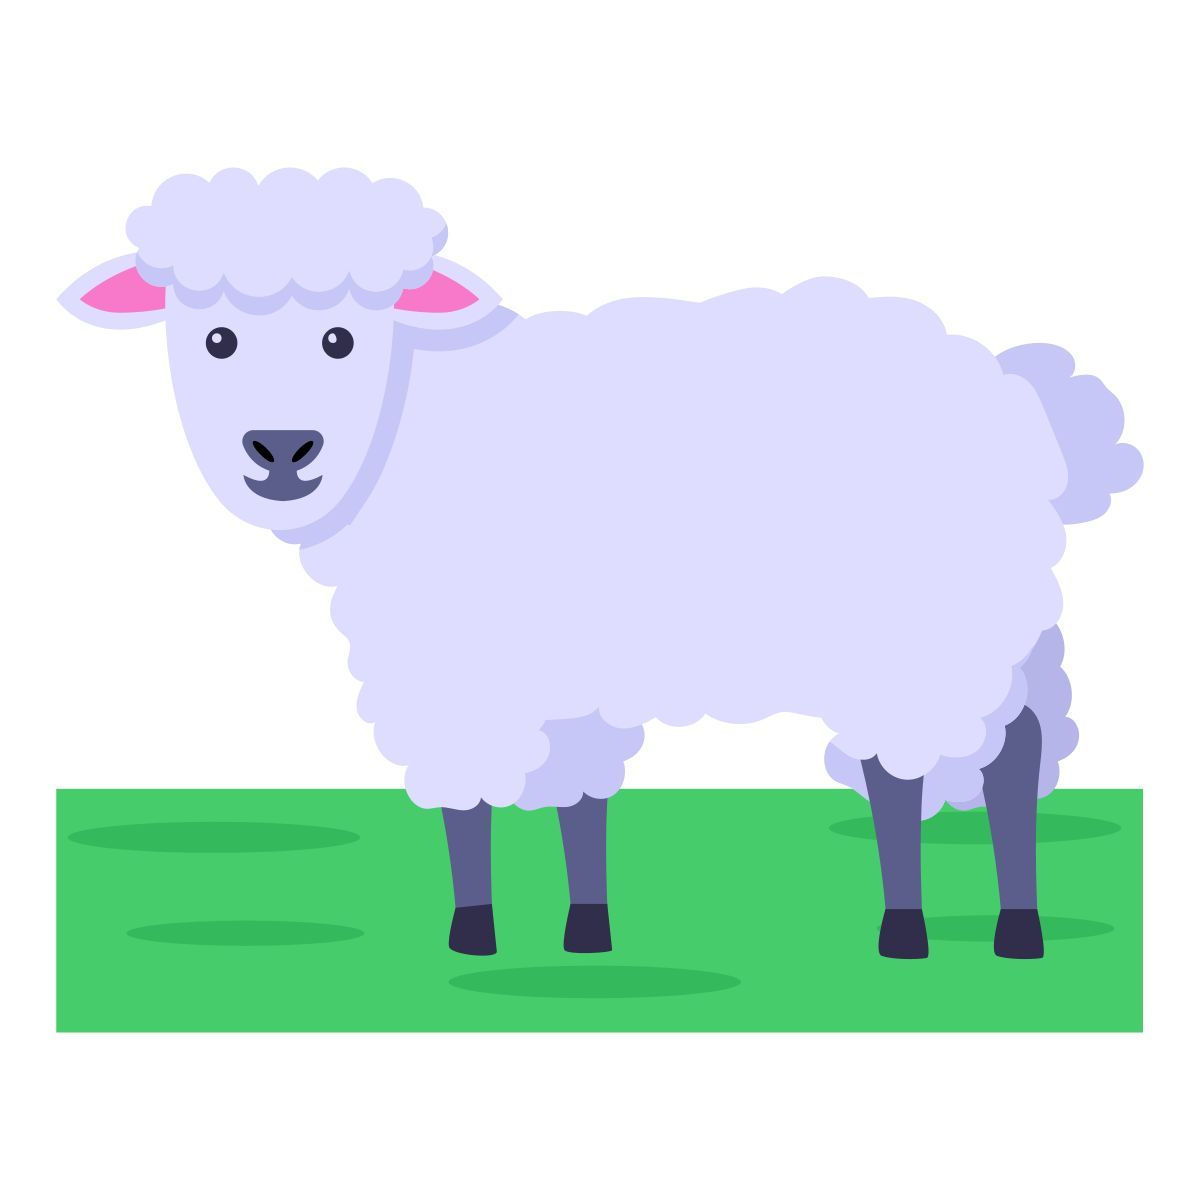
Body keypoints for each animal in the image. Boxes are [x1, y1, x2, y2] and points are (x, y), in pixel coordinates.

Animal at [61, 168, 1142, 961]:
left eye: (340, 337)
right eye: (214, 337)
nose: (282, 449)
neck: (411, 434)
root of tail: (1023, 396)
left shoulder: (455, 668)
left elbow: (467, 802)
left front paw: (473, 934)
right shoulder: (561, 674)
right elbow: (579, 800)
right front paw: (585, 931)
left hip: (926, 632)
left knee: (918, 770)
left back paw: (915, 932)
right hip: (999, 622)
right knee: (1015, 748)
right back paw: (1013, 926)